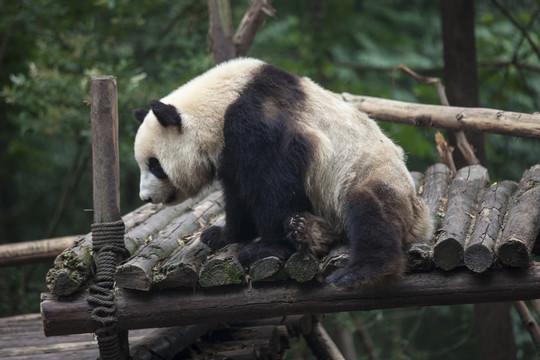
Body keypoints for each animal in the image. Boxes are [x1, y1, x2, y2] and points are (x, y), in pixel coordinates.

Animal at [133, 59, 432, 290]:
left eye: (155, 165)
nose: (146, 197)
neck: (219, 103)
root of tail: (424, 222)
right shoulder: (229, 151)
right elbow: (238, 192)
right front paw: (223, 234)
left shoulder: (256, 121)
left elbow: (274, 184)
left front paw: (266, 248)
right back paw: (312, 232)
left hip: (375, 177)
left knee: (370, 208)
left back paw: (360, 272)